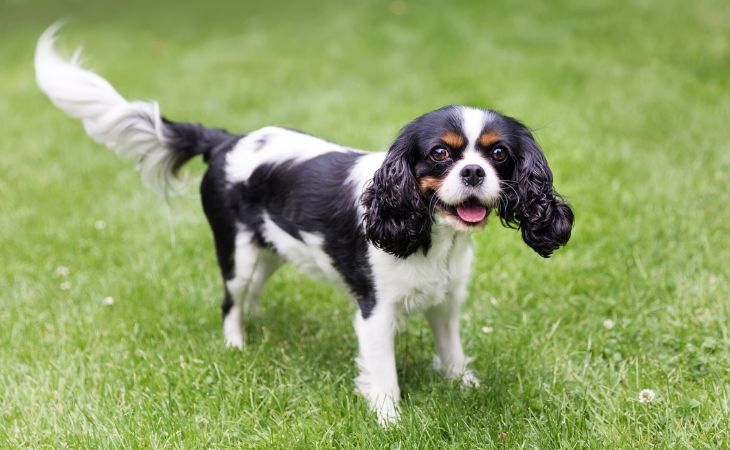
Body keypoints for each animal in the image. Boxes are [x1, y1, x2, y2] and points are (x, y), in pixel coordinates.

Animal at [35, 24, 568, 426]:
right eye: (440, 154)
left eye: (498, 154)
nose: (474, 172)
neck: (432, 233)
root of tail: (226, 140)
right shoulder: (375, 312)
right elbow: (384, 375)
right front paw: (390, 421)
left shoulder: (447, 300)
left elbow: (453, 352)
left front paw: (465, 387)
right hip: (237, 253)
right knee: (230, 300)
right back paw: (237, 346)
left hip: (272, 250)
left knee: (251, 293)